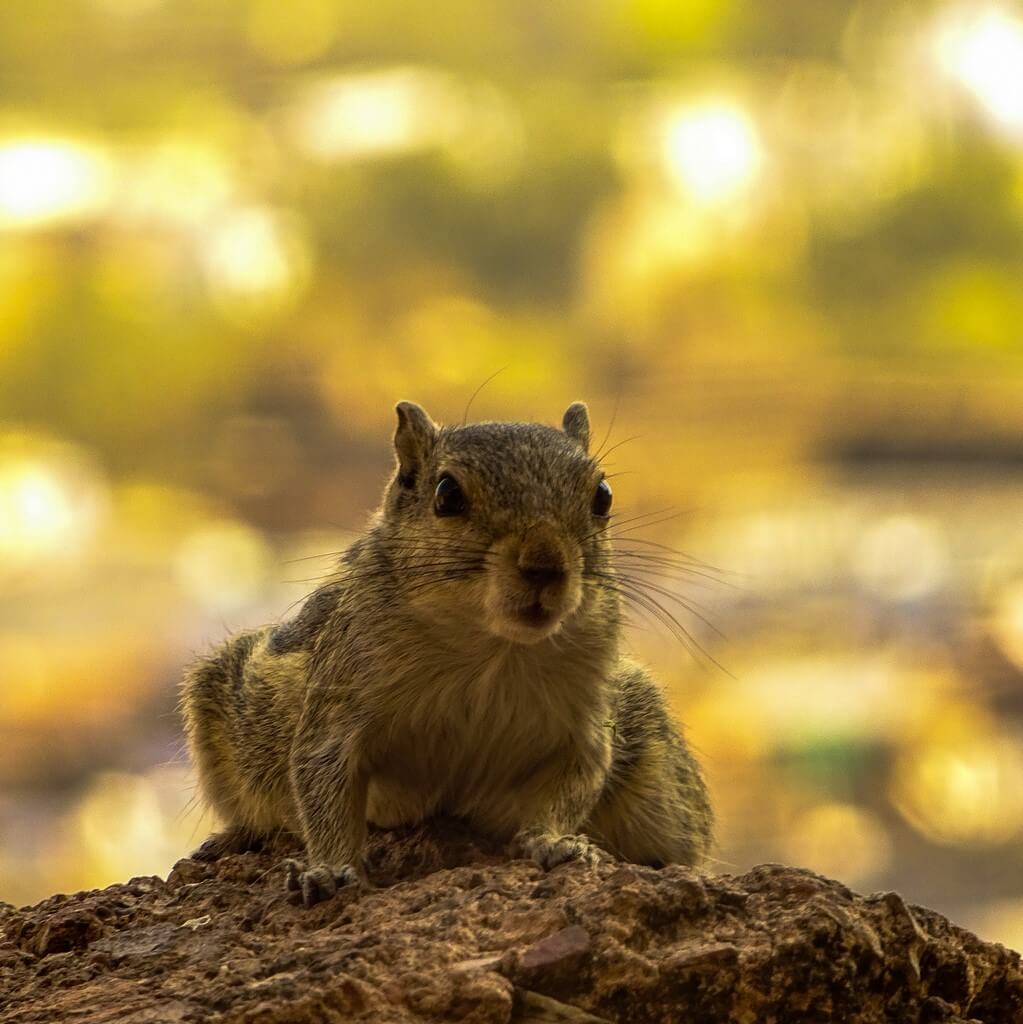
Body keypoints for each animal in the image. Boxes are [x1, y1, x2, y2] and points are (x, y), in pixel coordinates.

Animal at [180, 399, 712, 905]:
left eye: (603, 496)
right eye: (447, 494)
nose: (544, 564)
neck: (493, 648)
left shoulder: (585, 721)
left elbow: (575, 783)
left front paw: (555, 841)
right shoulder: (338, 697)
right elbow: (323, 781)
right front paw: (327, 869)